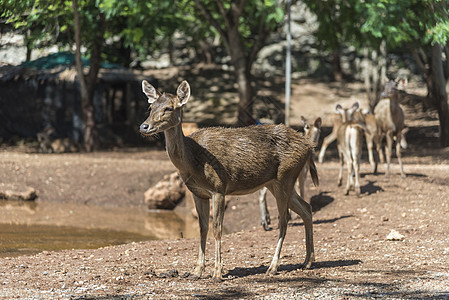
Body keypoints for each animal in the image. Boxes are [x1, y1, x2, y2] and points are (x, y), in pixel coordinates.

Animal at [140, 80, 318, 282]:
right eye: (151, 107)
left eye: (169, 108)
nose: (144, 126)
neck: (192, 161)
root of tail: (309, 146)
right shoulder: (197, 193)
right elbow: (202, 228)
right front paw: (197, 271)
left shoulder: (219, 188)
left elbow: (217, 228)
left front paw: (217, 272)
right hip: (276, 182)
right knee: (306, 208)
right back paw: (307, 261)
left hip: (285, 176)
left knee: (285, 219)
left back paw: (273, 267)